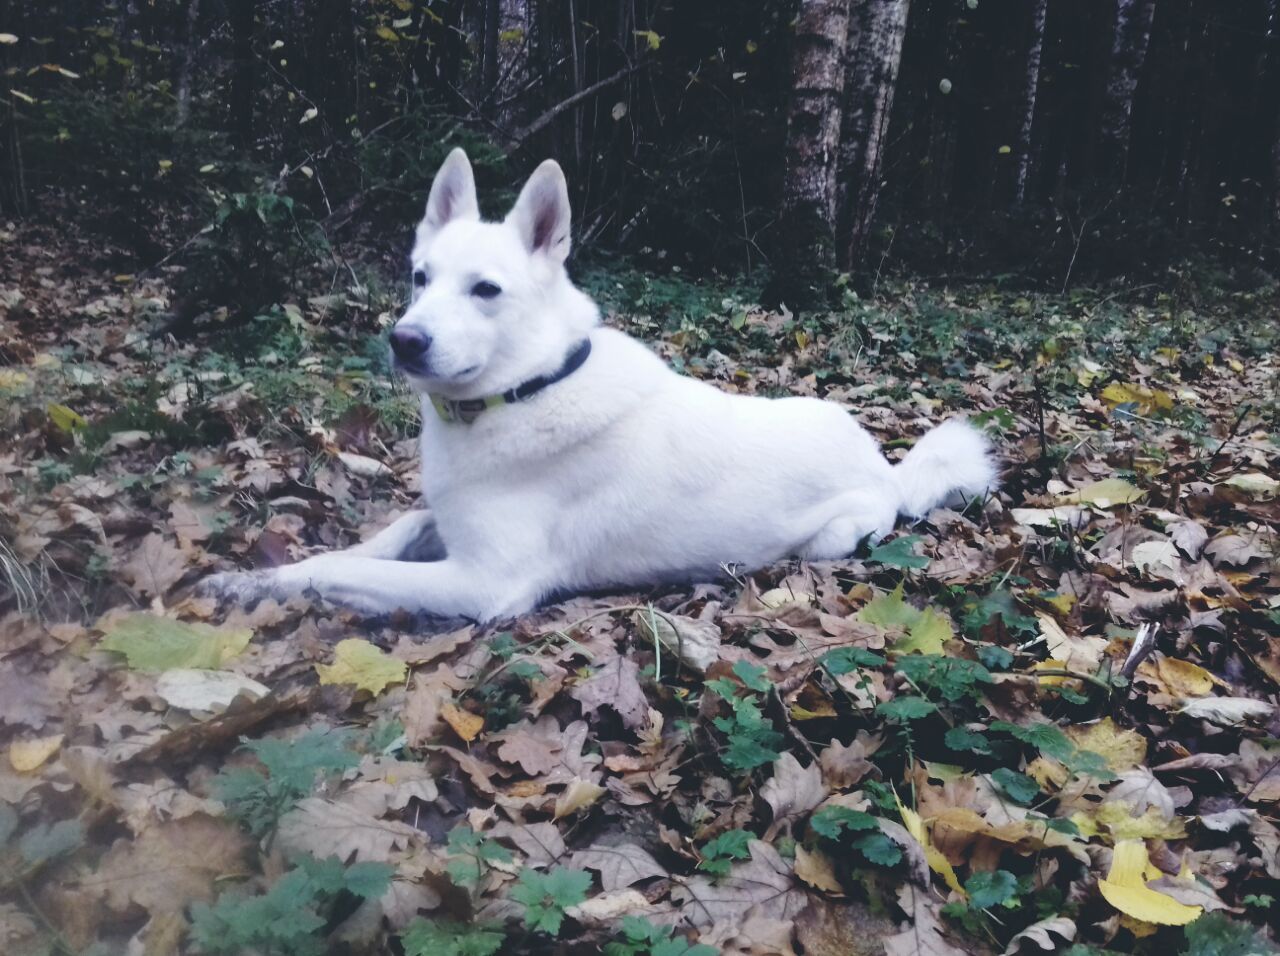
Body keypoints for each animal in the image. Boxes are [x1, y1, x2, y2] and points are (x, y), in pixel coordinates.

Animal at [204, 145, 993, 616]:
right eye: (421, 278)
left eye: (485, 290)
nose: (404, 341)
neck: (529, 389)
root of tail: (889, 468)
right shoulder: (441, 526)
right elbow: (372, 540)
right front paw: (248, 577)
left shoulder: (483, 584)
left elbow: (344, 574)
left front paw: (270, 585)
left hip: (831, 540)